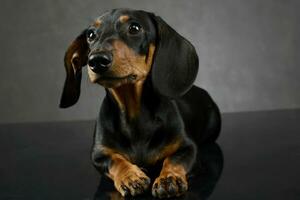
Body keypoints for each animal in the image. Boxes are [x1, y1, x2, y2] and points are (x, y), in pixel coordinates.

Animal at [59, 8, 221, 198]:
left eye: (134, 28)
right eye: (90, 35)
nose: (97, 60)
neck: (134, 114)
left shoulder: (189, 148)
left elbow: (174, 159)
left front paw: (169, 178)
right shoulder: (99, 154)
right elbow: (115, 161)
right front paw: (130, 176)